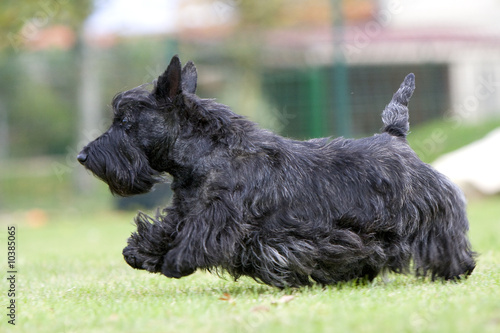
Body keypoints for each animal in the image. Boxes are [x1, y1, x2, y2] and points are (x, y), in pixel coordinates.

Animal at [78, 55, 476, 286]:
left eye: (125, 121)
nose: (83, 157)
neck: (208, 154)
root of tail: (395, 136)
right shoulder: (186, 211)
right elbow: (164, 229)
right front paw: (141, 253)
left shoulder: (220, 217)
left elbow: (196, 242)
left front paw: (175, 262)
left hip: (431, 216)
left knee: (446, 243)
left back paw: (456, 270)